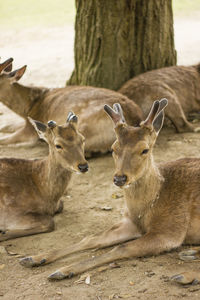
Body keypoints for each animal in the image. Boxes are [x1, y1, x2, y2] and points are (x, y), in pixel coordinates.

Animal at [0, 112, 88, 241]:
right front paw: (4, 232)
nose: (83, 166)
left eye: (82, 139)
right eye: (58, 145)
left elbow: (61, 206)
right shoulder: (10, 213)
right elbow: (49, 222)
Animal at [18, 99, 200, 284]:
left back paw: (184, 275)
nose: (120, 178)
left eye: (145, 149)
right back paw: (190, 253)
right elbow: (91, 238)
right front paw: (34, 258)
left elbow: (121, 248)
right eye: (113, 148)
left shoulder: (170, 231)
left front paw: (64, 270)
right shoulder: (131, 223)